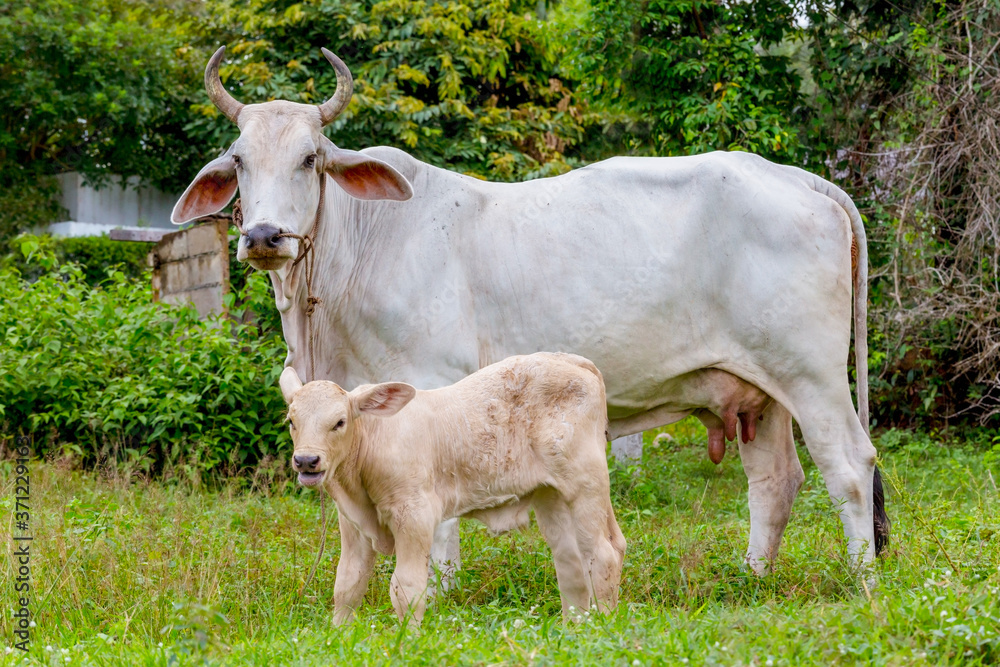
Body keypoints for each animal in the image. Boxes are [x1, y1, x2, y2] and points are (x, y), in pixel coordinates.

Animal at [172, 46, 890, 585]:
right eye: (239, 160)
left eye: (310, 158)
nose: (264, 235)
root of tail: (799, 178)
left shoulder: (432, 385)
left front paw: (438, 589)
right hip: (758, 391)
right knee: (776, 481)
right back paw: (751, 577)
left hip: (812, 374)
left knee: (851, 468)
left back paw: (863, 583)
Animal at [279, 352, 626, 625]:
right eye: (292, 421)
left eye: (339, 422)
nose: (307, 460)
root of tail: (570, 359)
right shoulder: (352, 524)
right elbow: (347, 585)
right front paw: (338, 635)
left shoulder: (415, 515)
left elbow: (406, 588)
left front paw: (408, 640)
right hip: (551, 495)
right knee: (571, 563)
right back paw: (573, 631)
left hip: (585, 484)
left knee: (604, 554)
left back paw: (602, 630)